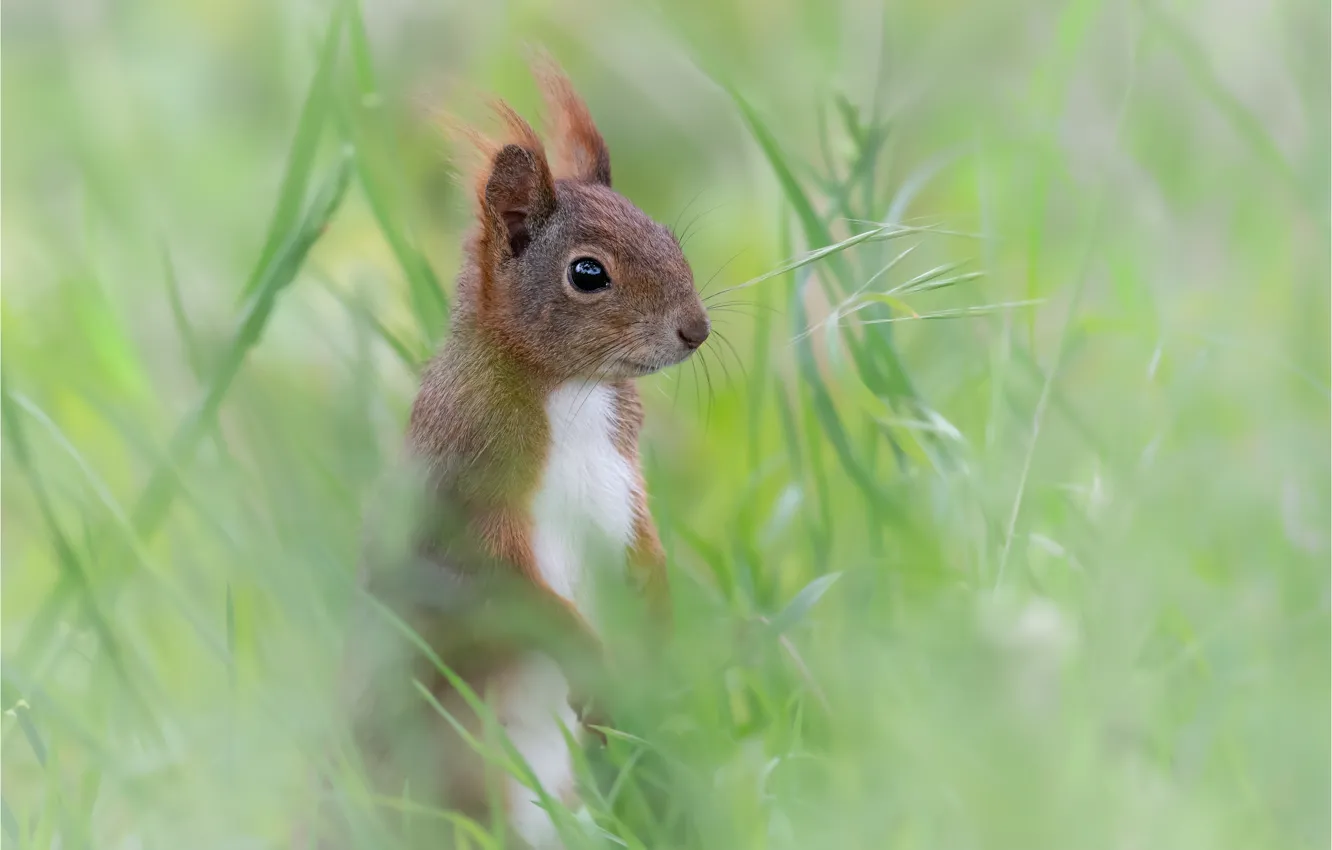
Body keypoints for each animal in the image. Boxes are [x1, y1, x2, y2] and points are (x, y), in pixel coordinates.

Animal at [321, 61, 710, 850]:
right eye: (587, 274)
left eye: (668, 235)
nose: (697, 329)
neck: (573, 392)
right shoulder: (460, 503)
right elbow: (501, 594)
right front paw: (590, 660)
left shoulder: (624, 487)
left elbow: (646, 549)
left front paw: (659, 631)